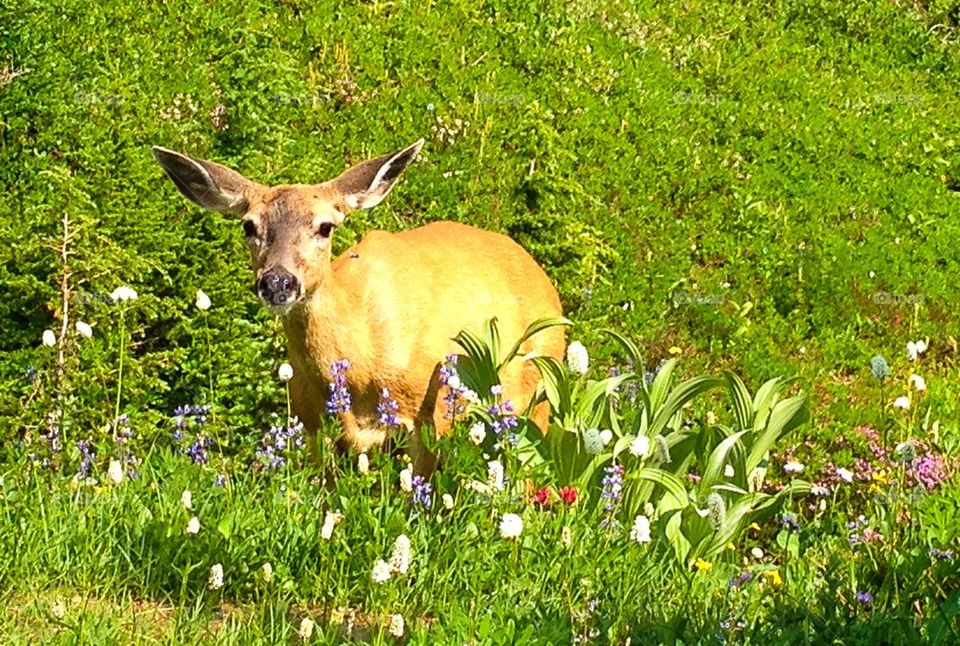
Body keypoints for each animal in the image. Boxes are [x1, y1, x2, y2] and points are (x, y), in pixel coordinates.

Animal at [152, 139, 566, 474]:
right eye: (249, 226)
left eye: (325, 227)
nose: (278, 282)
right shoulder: (312, 424)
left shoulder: (430, 413)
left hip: (539, 390)